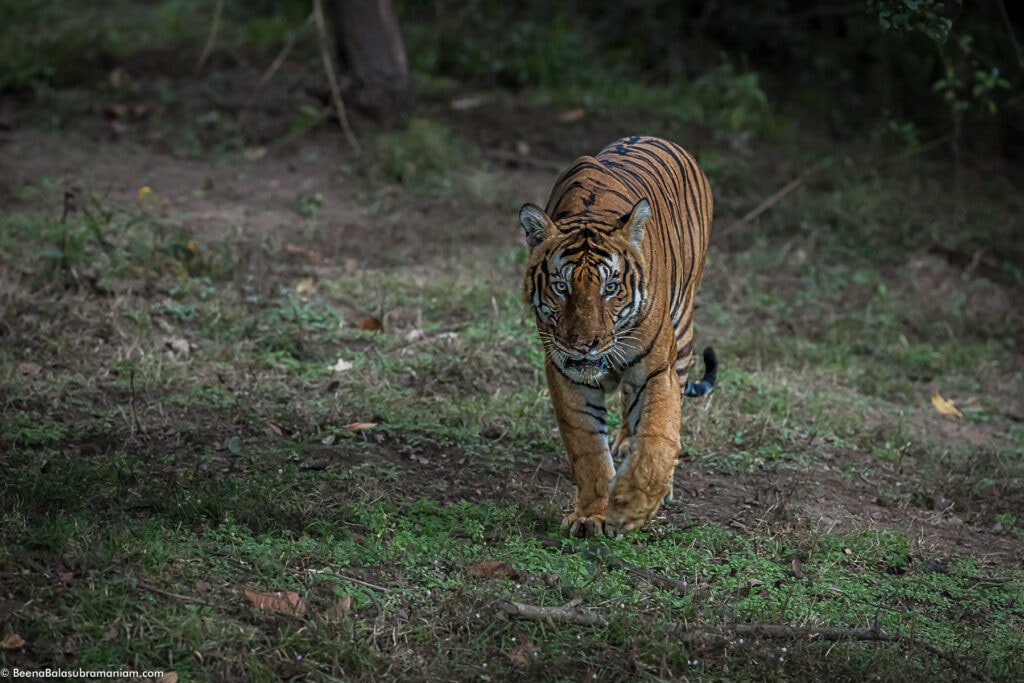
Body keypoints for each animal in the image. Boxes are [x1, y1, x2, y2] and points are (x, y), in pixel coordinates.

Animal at [516, 135, 716, 540]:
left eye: (610, 288)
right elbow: (588, 448)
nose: (585, 343)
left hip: (683, 334)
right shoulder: (566, 375)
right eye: (561, 287)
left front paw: (630, 507)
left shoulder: (656, 369)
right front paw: (592, 515)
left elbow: (657, 436)